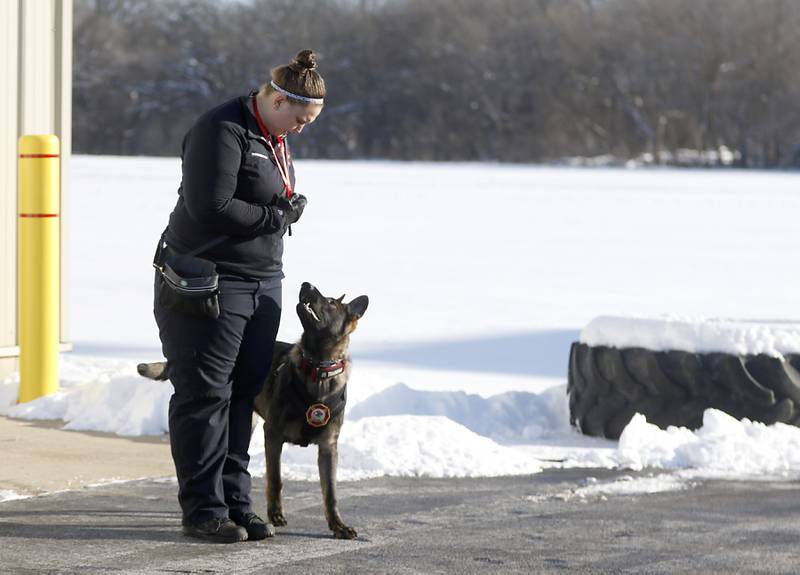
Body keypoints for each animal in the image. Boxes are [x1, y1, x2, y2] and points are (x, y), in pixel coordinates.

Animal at [139, 284, 370, 540]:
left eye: (331, 303)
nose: (306, 285)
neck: (317, 370)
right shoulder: (273, 435)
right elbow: (275, 479)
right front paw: (275, 515)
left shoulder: (328, 447)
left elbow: (330, 493)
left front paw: (338, 526)